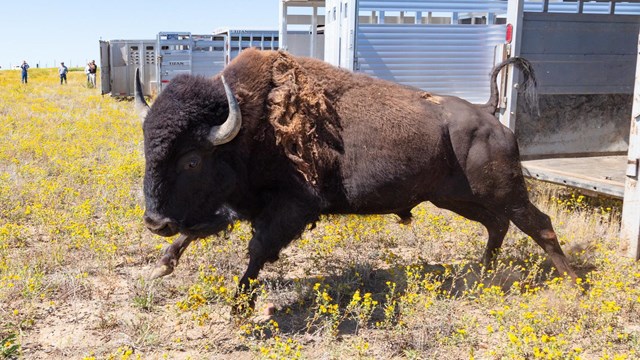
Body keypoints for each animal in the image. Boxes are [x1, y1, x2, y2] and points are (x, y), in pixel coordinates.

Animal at [138, 48, 576, 304]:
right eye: (147, 147)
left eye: (192, 160)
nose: (154, 222)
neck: (247, 124)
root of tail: (487, 114)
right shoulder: (239, 205)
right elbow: (197, 231)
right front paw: (161, 266)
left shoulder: (292, 208)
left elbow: (257, 249)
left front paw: (239, 304)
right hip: (456, 198)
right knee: (496, 225)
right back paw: (481, 274)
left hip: (505, 192)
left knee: (538, 224)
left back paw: (574, 283)